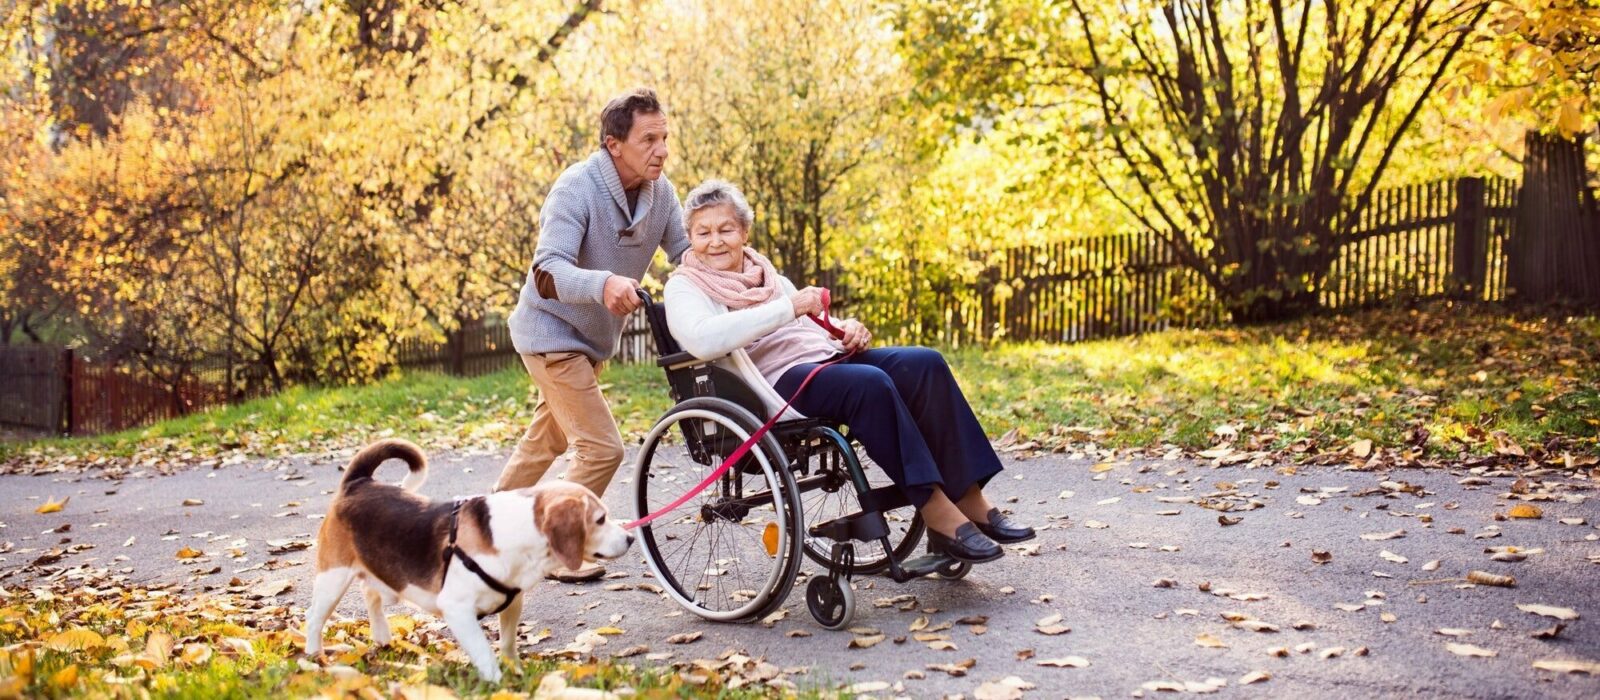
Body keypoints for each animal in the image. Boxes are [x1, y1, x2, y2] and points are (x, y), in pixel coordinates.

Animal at [302, 441, 633, 680]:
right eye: (600, 519)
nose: (630, 538)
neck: (515, 532)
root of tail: (358, 483)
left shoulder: (513, 603)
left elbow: (508, 644)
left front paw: (516, 673)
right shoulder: (458, 611)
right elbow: (484, 653)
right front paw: (499, 683)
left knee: (370, 594)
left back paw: (382, 637)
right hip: (333, 578)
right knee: (314, 616)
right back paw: (313, 657)